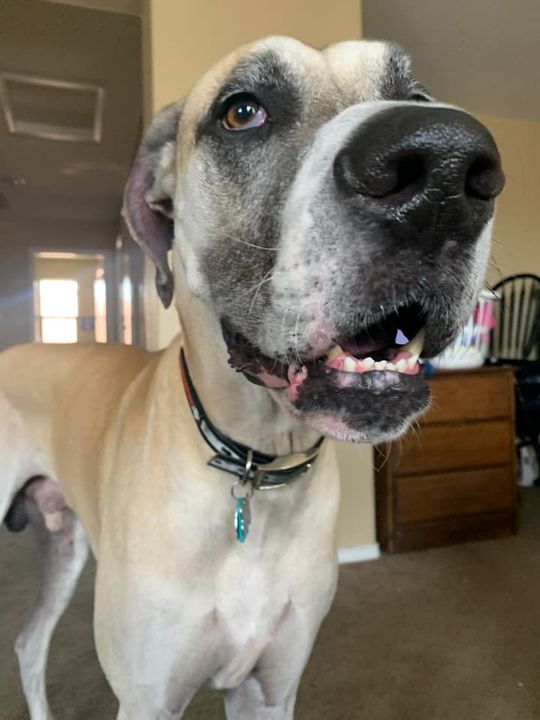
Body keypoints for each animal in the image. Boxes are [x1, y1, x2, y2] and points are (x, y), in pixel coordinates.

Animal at [0, 36, 504, 719]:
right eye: (242, 111)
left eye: (416, 95)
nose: (446, 167)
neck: (254, 468)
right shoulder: (148, 700)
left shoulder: (269, 689)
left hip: (63, 543)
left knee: (28, 642)